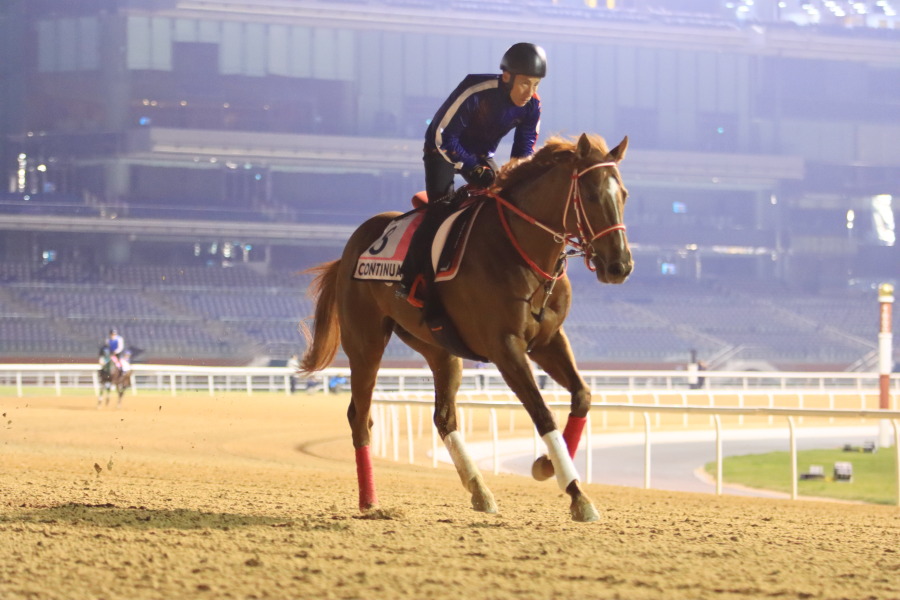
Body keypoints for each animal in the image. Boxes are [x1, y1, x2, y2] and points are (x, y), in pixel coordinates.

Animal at [302, 132, 632, 520]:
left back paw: (479, 489)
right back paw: (369, 501)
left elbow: (582, 396)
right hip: (365, 343)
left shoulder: (548, 341)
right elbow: (542, 412)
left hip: (439, 348)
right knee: (360, 416)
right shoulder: (505, 346)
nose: (619, 266)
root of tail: (351, 248)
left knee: (444, 417)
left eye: (624, 195)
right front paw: (577, 495)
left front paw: (546, 466)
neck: (521, 252)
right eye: (591, 195)